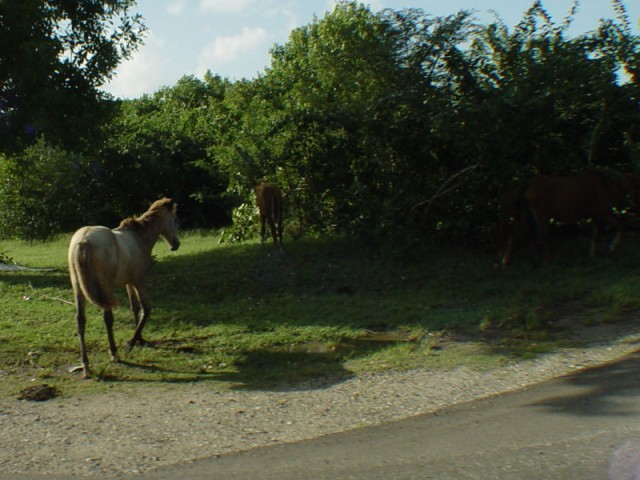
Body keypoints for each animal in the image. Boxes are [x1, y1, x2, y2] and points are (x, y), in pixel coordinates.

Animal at [68, 198, 180, 378]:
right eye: (175, 220)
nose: (176, 244)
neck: (139, 238)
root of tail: (83, 241)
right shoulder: (139, 280)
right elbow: (146, 308)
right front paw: (132, 342)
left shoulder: (129, 282)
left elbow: (135, 308)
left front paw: (140, 338)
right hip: (105, 290)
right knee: (108, 319)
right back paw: (114, 353)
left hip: (79, 290)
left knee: (80, 321)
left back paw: (86, 365)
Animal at [498, 171, 630, 266]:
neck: (609, 186)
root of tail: (528, 182)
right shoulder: (603, 214)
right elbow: (621, 226)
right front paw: (613, 247)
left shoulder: (596, 218)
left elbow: (595, 237)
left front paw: (593, 255)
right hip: (542, 218)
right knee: (538, 239)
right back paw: (548, 262)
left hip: (528, 217)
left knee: (515, 236)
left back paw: (505, 262)